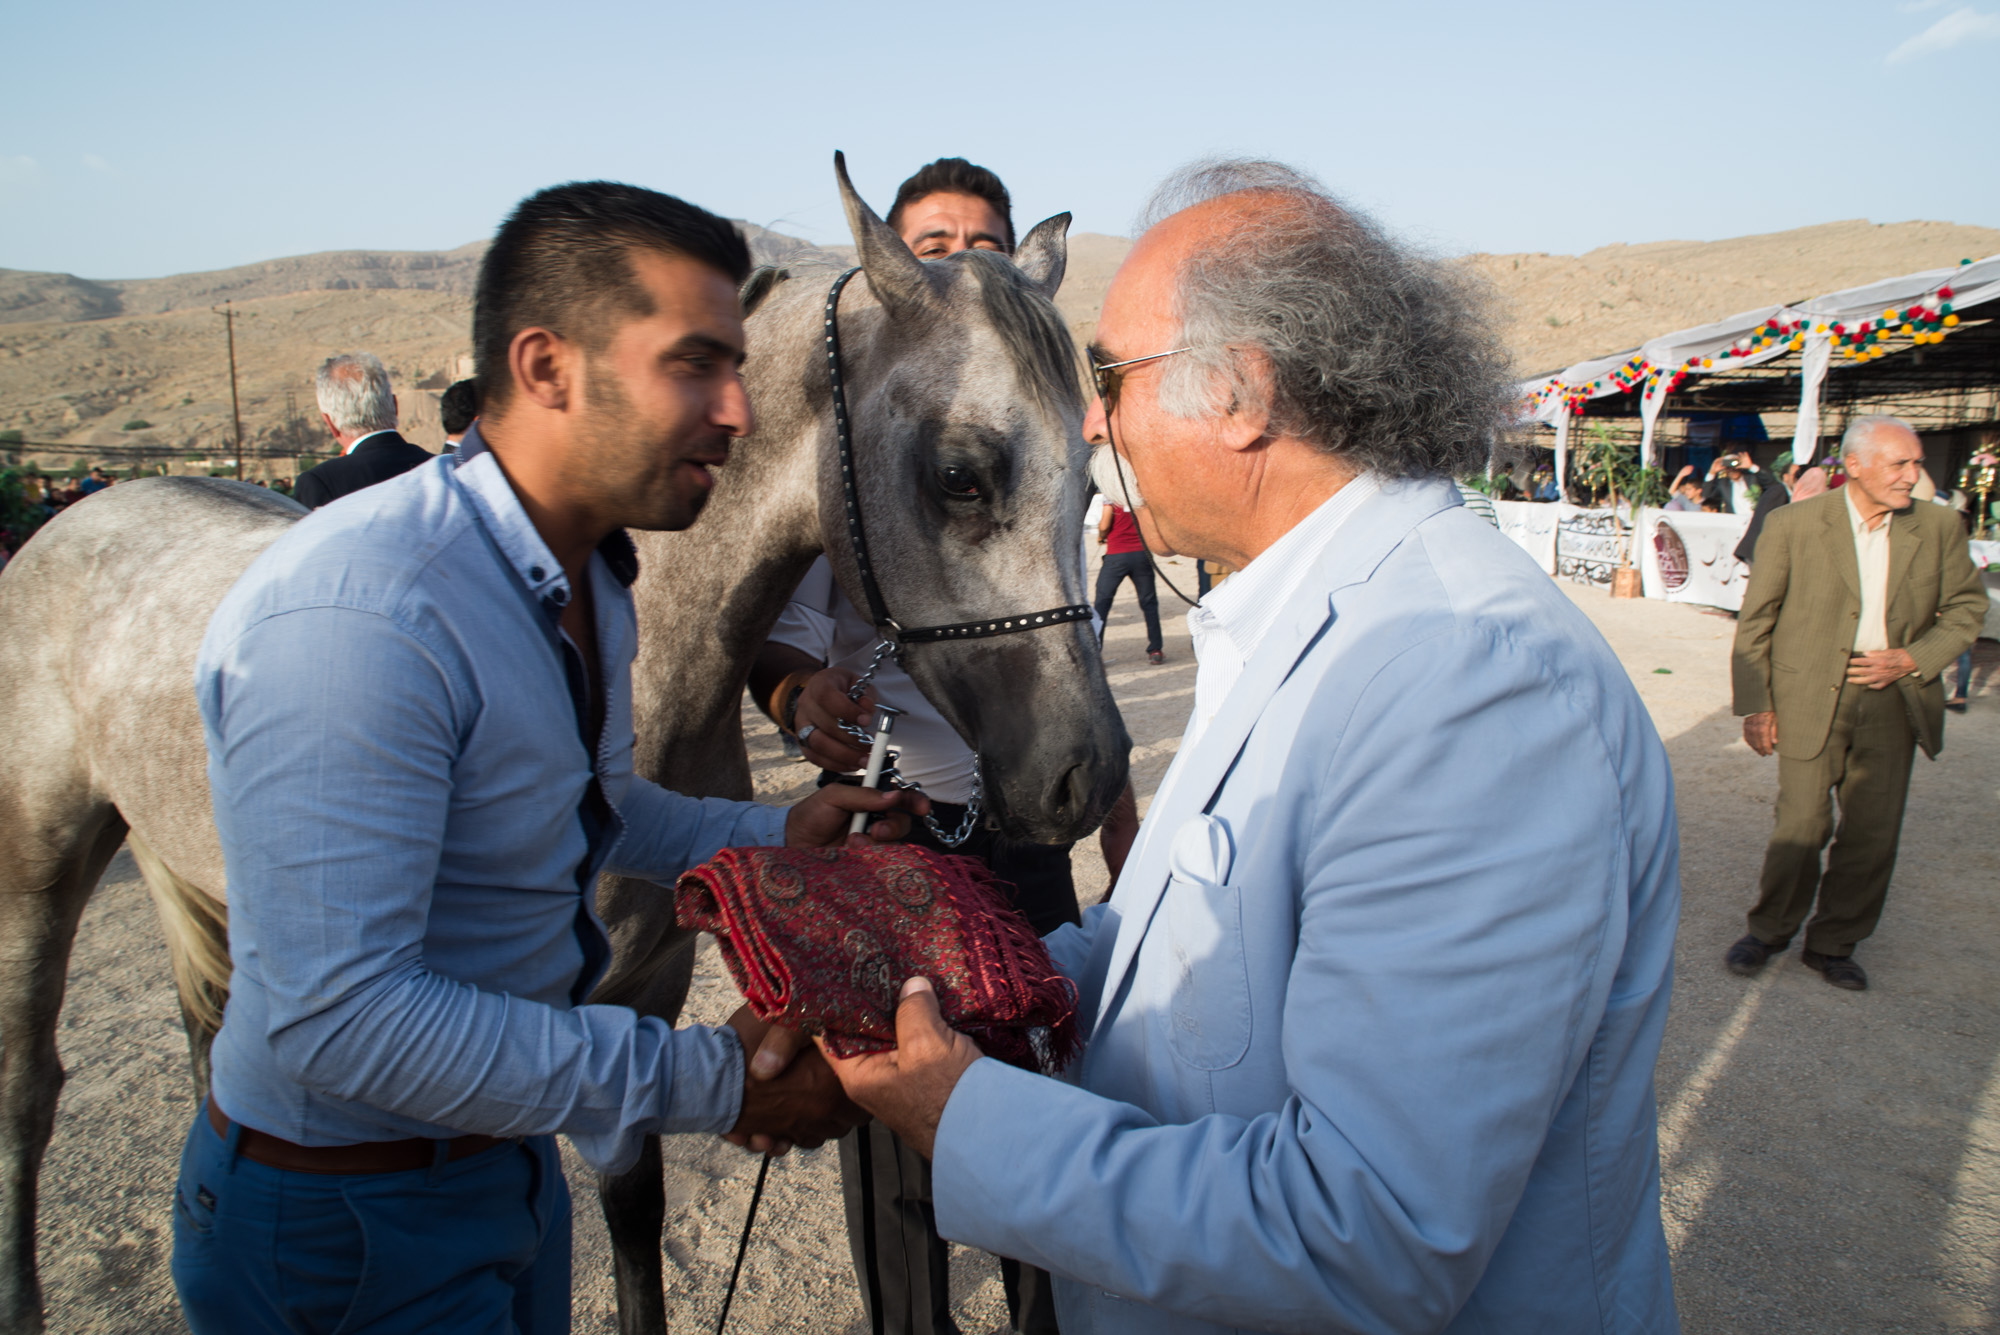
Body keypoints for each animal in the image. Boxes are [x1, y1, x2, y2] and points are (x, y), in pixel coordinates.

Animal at [0, 161, 1128, 1327]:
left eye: (1093, 483)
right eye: (960, 474)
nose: (1081, 776)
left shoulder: (640, 994)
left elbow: (633, 1223)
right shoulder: (512, 1035)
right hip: (39, 868)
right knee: (32, 1088)